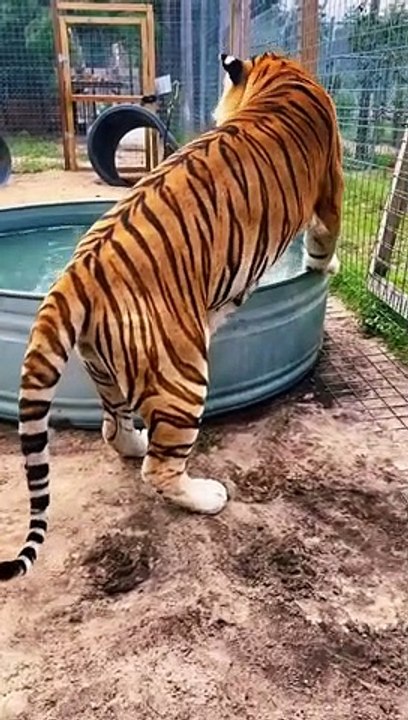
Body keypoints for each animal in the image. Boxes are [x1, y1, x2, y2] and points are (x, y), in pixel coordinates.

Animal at [0, 51, 343, 581]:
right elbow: (323, 242)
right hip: (183, 375)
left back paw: (136, 443)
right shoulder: (330, 189)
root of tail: (74, 275)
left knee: (114, 429)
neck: (279, 78)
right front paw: (329, 266)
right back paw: (207, 496)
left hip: (105, 369)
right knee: (160, 469)